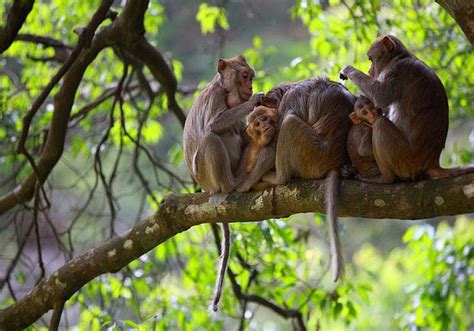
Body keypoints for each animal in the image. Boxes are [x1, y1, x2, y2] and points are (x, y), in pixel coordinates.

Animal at [181, 55, 262, 312]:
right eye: (245, 76)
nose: (251, 87)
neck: (227, 93)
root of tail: (206, 188)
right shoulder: (216, 97)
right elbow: (214, 124)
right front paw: (256, 100)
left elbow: (243, 131)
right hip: (208, 174)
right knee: (210, 137)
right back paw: (231, 184)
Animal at [260, 78, 356, 282]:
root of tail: (334, 161)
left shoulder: (290, 100)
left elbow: (282, 127)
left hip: (311, 155)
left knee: (289, 123)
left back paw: (278, 177)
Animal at [338, 34, 472, 184]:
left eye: (371, 59)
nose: (369, 70)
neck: (399, 58)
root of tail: (432, 163)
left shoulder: (395, 71)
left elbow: (381, 96)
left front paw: (348, 70)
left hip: (405, 160)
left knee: (381, 124)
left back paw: (384, 178)